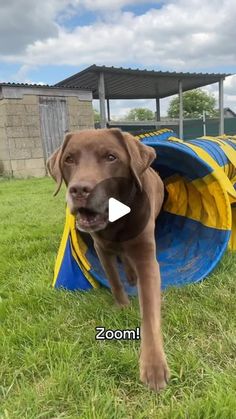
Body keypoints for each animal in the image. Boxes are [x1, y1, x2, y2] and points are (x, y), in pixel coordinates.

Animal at [47, 129, 170, 394]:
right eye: (69, 159)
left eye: (111, 157)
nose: (79, 190)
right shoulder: (101, 248)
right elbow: (114, 280)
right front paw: (122, 305)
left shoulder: (146, 254)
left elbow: (150, 311)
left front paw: (153, 365)